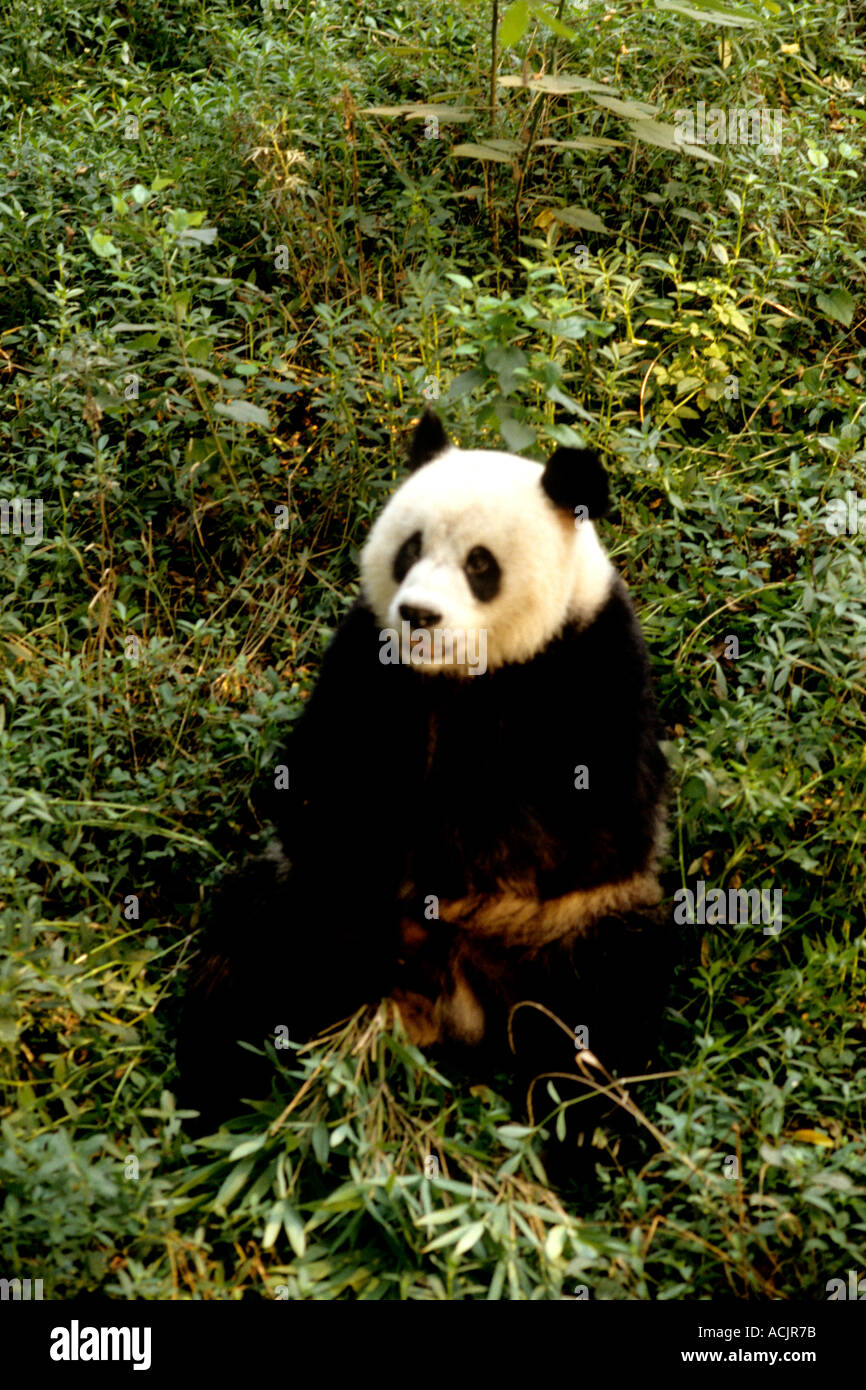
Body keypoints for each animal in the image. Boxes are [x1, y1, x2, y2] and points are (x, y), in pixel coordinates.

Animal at [179, 405, 675, 1150]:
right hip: (310, 916)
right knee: (251, 958)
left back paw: (594, 1135)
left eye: (480, 564)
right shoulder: (367, 661)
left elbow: (593, 821)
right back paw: (212, 1107)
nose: (418, 616)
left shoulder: (591, 662)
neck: (459, 675)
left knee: (607, 1007)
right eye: (409, 549)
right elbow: (315, 792)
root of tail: (440, 1003)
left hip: (563, 933)